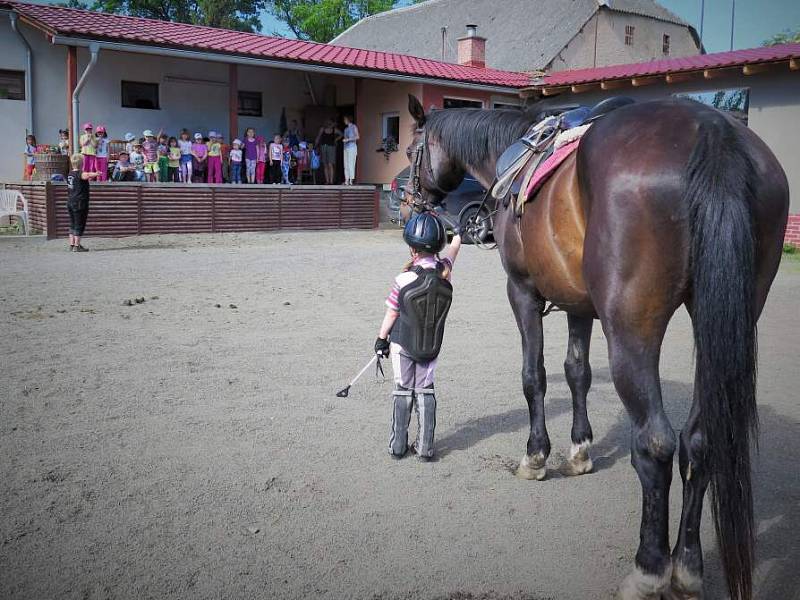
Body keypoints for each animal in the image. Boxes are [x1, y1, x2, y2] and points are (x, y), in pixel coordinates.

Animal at [404, 95, 792, 600]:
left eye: (410, 149)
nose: (407, 197)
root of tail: (712, 128)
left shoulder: (522, 292)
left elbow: (535, 377)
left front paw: (537, 456)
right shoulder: (578, 303)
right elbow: (577, 372)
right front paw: (580, 449)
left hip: (631, 327)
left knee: (656, 443)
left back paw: (650, 569)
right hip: (727, 318)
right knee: (700, 441)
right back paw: (687, 569)